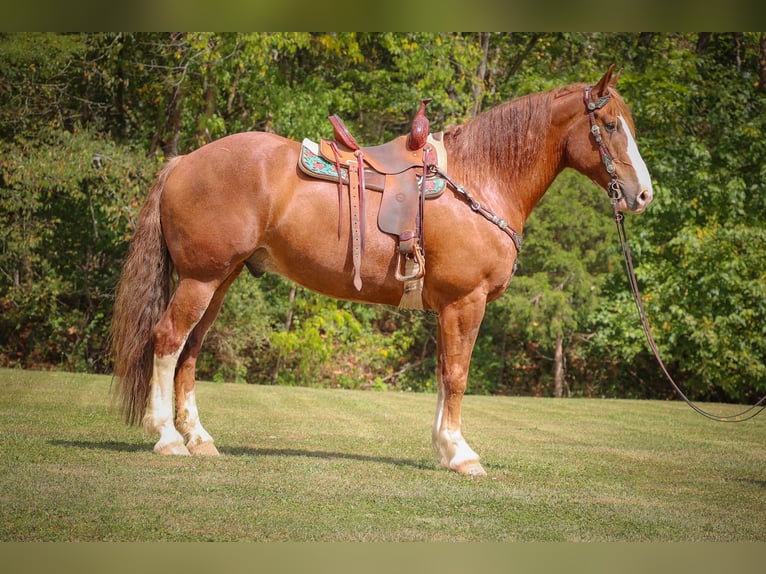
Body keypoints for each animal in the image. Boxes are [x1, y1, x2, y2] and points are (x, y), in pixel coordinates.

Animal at [111, 65, 653, 476]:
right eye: (609, 125)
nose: (644, 194)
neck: (482, 179)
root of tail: (183, 161)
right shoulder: (466, 302)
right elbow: (457, 375)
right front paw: (461, 454)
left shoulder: (447, 308)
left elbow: (443, 374)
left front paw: (443, 447)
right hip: (201, 279)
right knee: (167, 339)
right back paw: (167, 438)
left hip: (219, 280)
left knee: (190, 350)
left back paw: (199, 438)